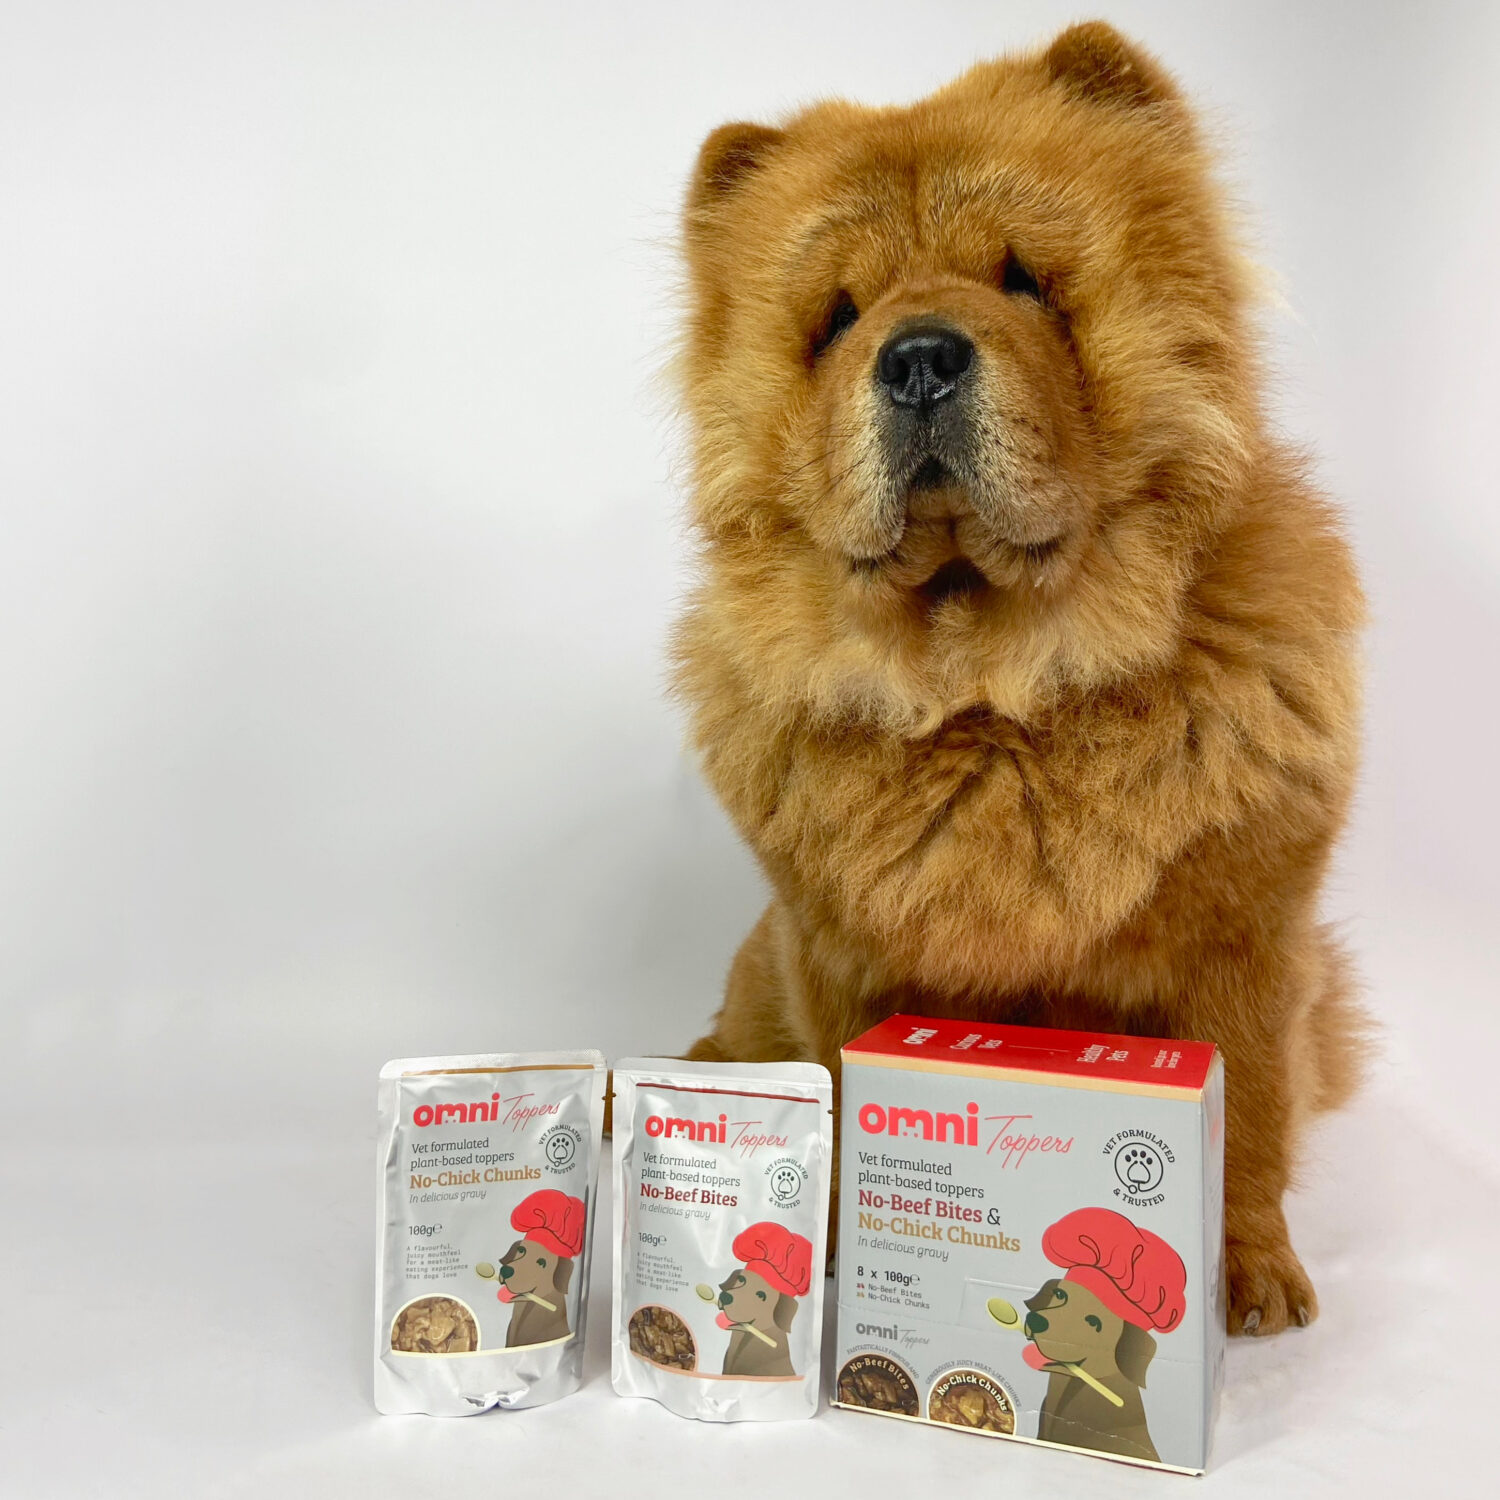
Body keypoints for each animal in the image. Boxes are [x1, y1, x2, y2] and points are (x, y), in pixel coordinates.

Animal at [673, 21, 1366, 1338]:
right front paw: (828, 1251)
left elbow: (1248, 1114)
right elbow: (832, 1086)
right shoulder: (835, 957)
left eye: (1024, 281)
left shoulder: (1249, 945)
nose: (918, 357)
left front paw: (1249, 1276)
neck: (994, 684)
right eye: (838, 317)